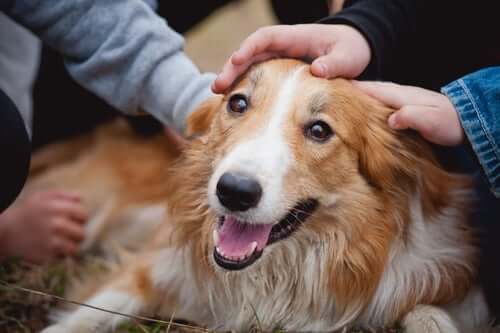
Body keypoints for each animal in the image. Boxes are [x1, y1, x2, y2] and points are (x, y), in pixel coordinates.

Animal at [40, 58, 492, 330]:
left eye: (319, 130)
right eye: (238, 103)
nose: (234, 192)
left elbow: (428, 313)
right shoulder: (153, 267)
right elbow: (77, 321)